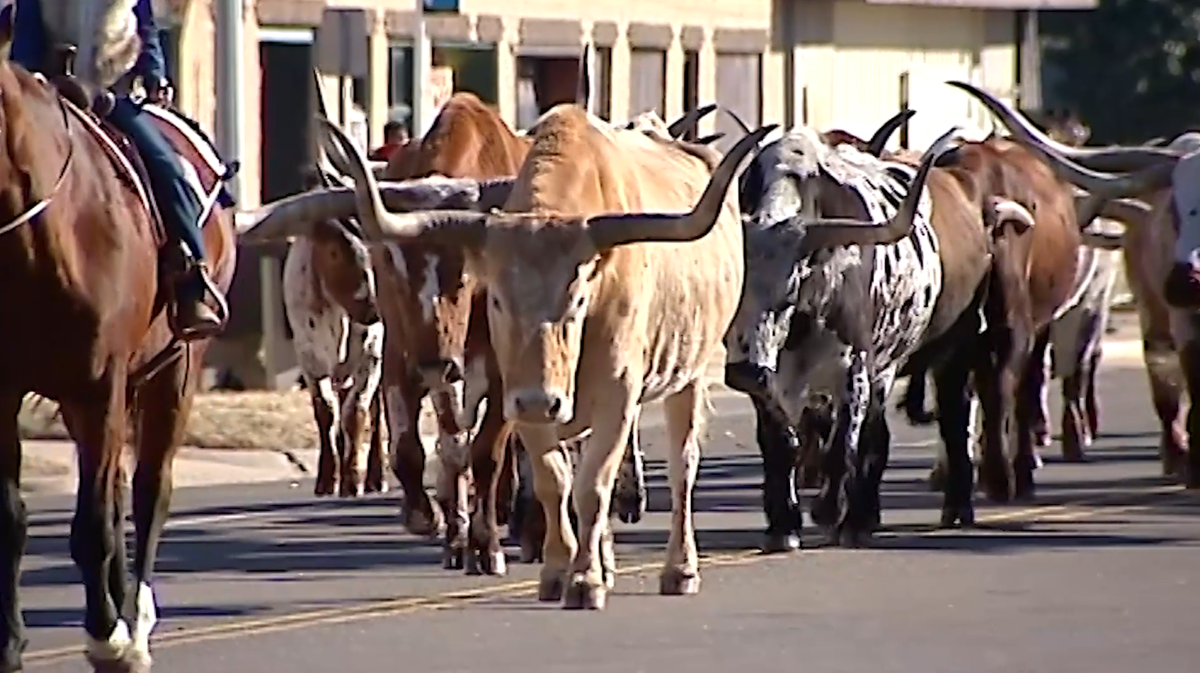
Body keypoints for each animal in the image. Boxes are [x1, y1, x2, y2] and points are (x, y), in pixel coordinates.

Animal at [0, 56, 238, 671]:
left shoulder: (97, 387)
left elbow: (92, 525)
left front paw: (107, 638)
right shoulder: (4, 393)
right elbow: (14, 517)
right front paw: (9, 644)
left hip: (174, 372)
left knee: (151, 491)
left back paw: (135, 623)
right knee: (120, 495)